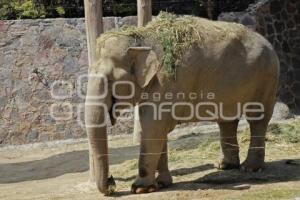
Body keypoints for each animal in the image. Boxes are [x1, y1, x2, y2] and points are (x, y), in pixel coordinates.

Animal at [84, 13, 278, 195]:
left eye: (109, 80)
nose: (111, 182)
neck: (139, 38)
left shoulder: (165, 82)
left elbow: (153, 127)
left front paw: (139, 189)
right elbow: (158, 129)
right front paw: (162, 183)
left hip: (266, 76)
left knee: (257, 119)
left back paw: (250, 168)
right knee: (227, 120)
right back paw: (224, 165)